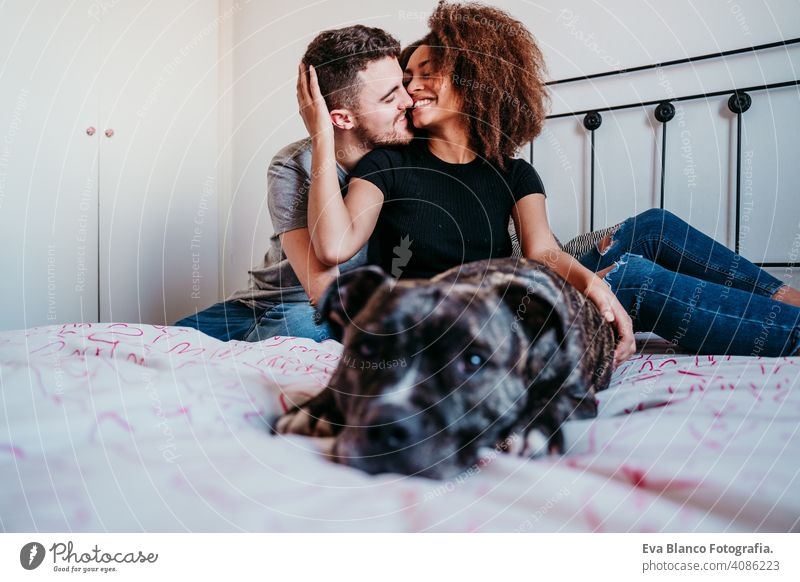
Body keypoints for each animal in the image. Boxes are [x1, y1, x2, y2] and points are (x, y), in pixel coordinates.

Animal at [272, 258, 616, 482]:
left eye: (474, 361)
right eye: (367, 349)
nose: (388, 426)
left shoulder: (578, 396)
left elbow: (551, 399)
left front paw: (530, 428)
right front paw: (311, 410)